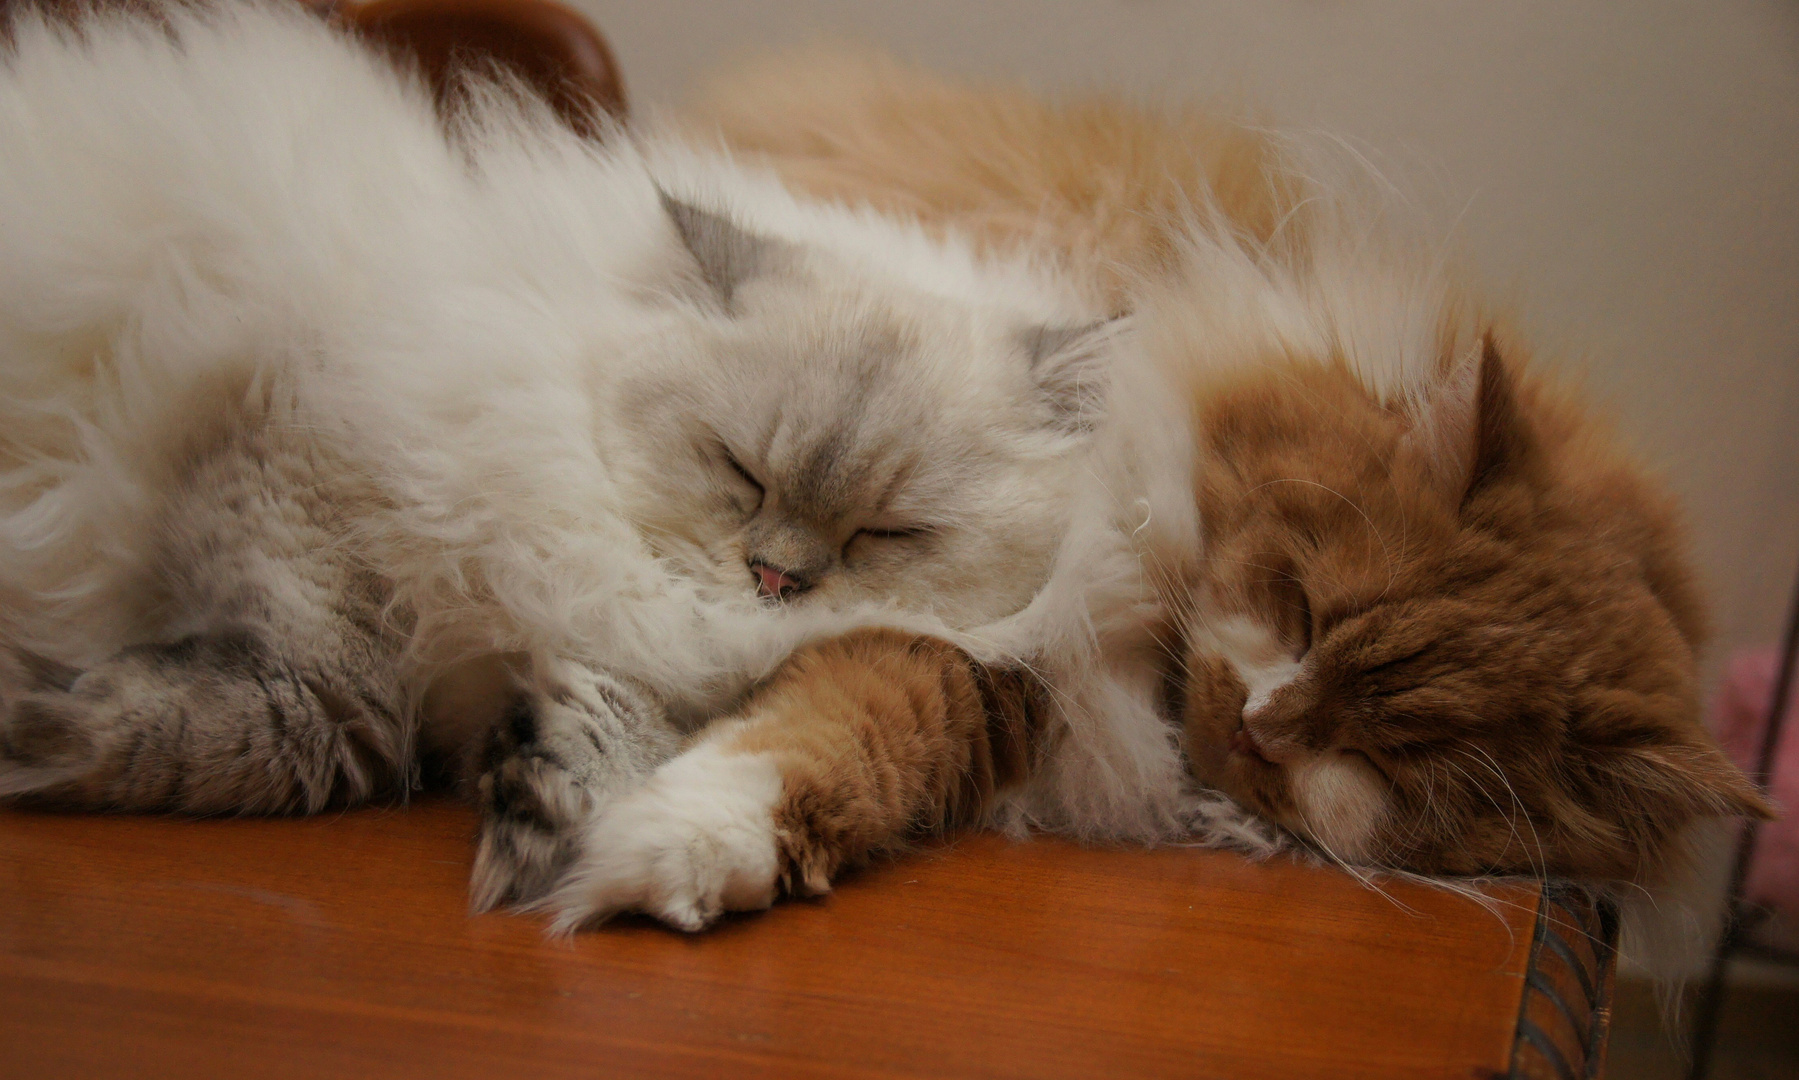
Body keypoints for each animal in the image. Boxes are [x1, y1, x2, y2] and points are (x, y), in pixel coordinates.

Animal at [0, 6, 1108, 918]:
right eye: (739, 472)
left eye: (884, 532)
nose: (775, 579)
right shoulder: (293, 433)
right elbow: (337, 709)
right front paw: (44, 724)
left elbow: (593, 726)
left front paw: (539, 825)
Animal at [532, 48, 1770, 928]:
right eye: (1295, 607)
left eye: (1391, 762)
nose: (1264, 729)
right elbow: (835, 713)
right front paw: (663, 843)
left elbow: (862, 716)